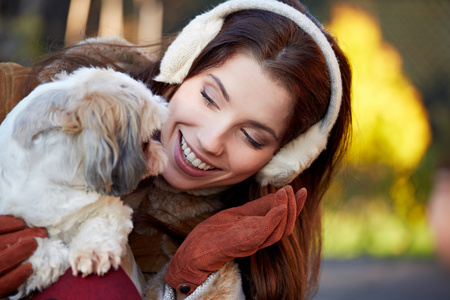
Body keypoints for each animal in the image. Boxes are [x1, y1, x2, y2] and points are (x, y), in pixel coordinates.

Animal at [0, 67, 168, 298]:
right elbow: (25, 243)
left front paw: (93, 253)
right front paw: (48, 256)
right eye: (145, 141)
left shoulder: (105, 208)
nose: (161, 152)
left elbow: (101, 224)